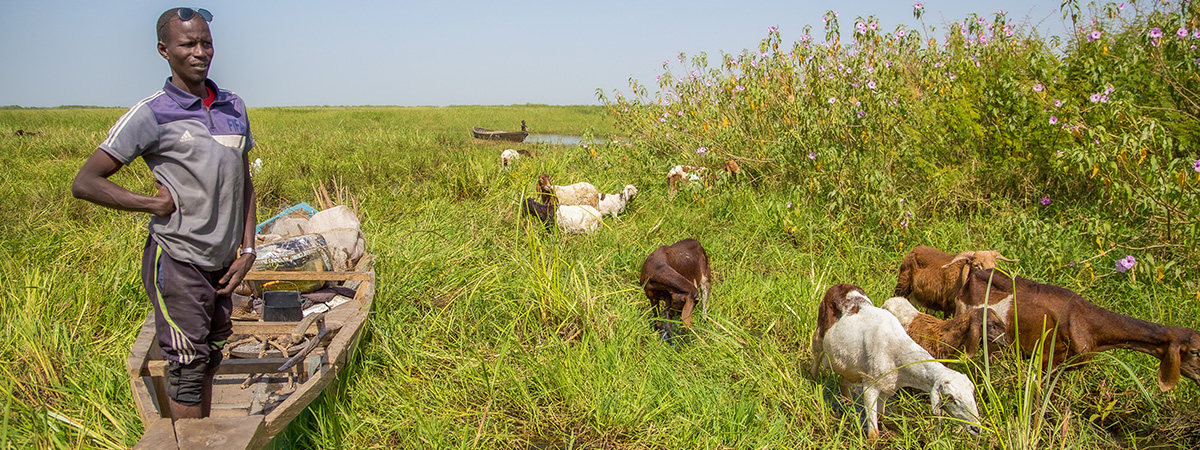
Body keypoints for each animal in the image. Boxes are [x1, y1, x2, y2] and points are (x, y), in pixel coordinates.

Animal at [819, 285, 983, 438]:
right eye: (951, 398)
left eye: (972, 394)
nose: (976, 428)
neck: (898, 352)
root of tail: (841, 286)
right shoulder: (870, 387)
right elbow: (873, 433)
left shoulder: (887, 388)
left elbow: (881, 415)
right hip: (818, 337)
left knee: (844, 383)